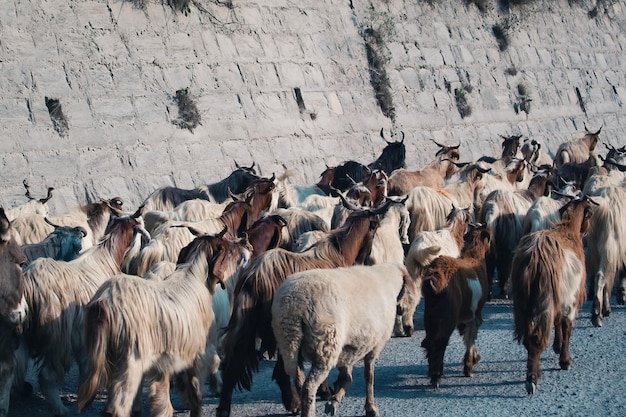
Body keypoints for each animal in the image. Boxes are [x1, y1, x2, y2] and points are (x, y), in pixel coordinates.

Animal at [510, 195, 592, 394]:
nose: (587, 231)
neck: (568, 230)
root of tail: (532, 259)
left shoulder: (561, 296)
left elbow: (558, 321)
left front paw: (557, 346)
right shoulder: (571, 297)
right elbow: (567, 325)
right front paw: (565, 360)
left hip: (522, 300)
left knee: (528, 336)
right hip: (544, 297)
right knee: (536, 337)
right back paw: (532, 379)